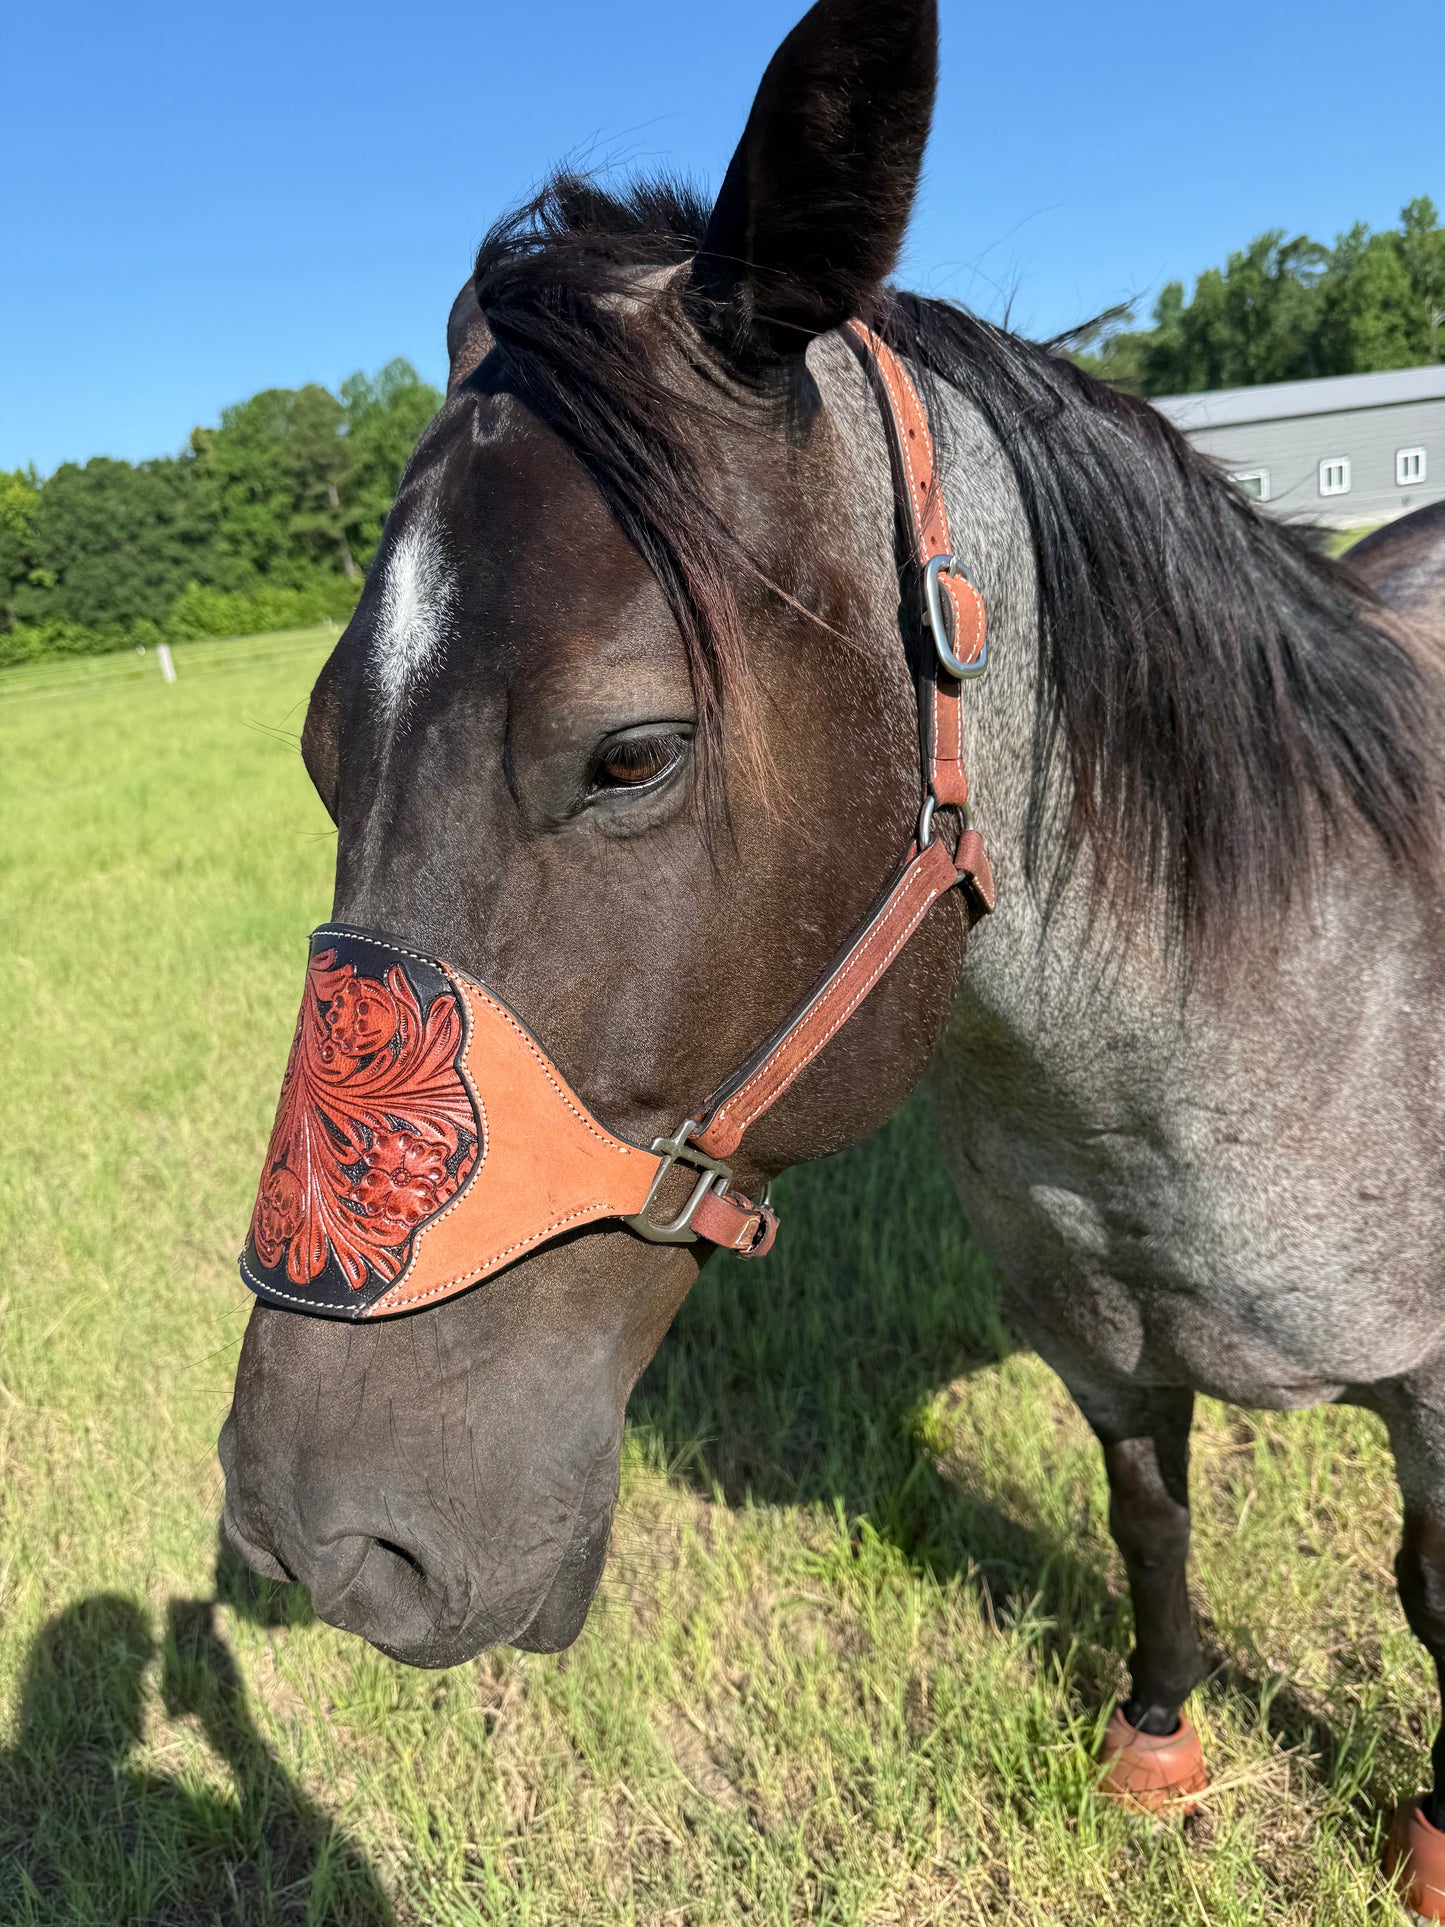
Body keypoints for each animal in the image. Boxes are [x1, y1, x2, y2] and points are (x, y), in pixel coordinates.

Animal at [219, 0, 1445, 1888]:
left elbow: (1429, 1591)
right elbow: (1148, 1516)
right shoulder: (1101, 1354)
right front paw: (1157, 1742)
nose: (312, 1535)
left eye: (631, 752)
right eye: (316, 748)